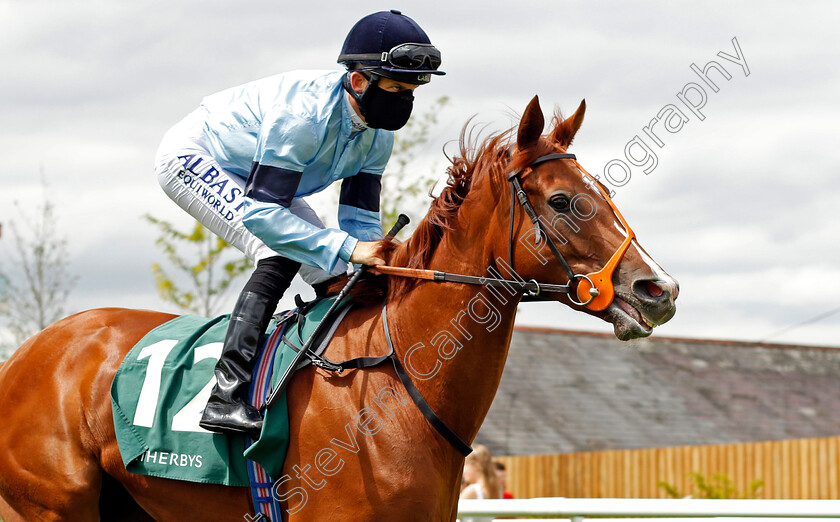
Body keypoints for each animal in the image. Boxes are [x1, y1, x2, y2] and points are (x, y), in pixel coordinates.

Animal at [0, 95, 676, 516]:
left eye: (604, 191)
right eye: (561, 201)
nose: (659, 290)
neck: (395, 381)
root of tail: (26, 354)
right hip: (52, 504)